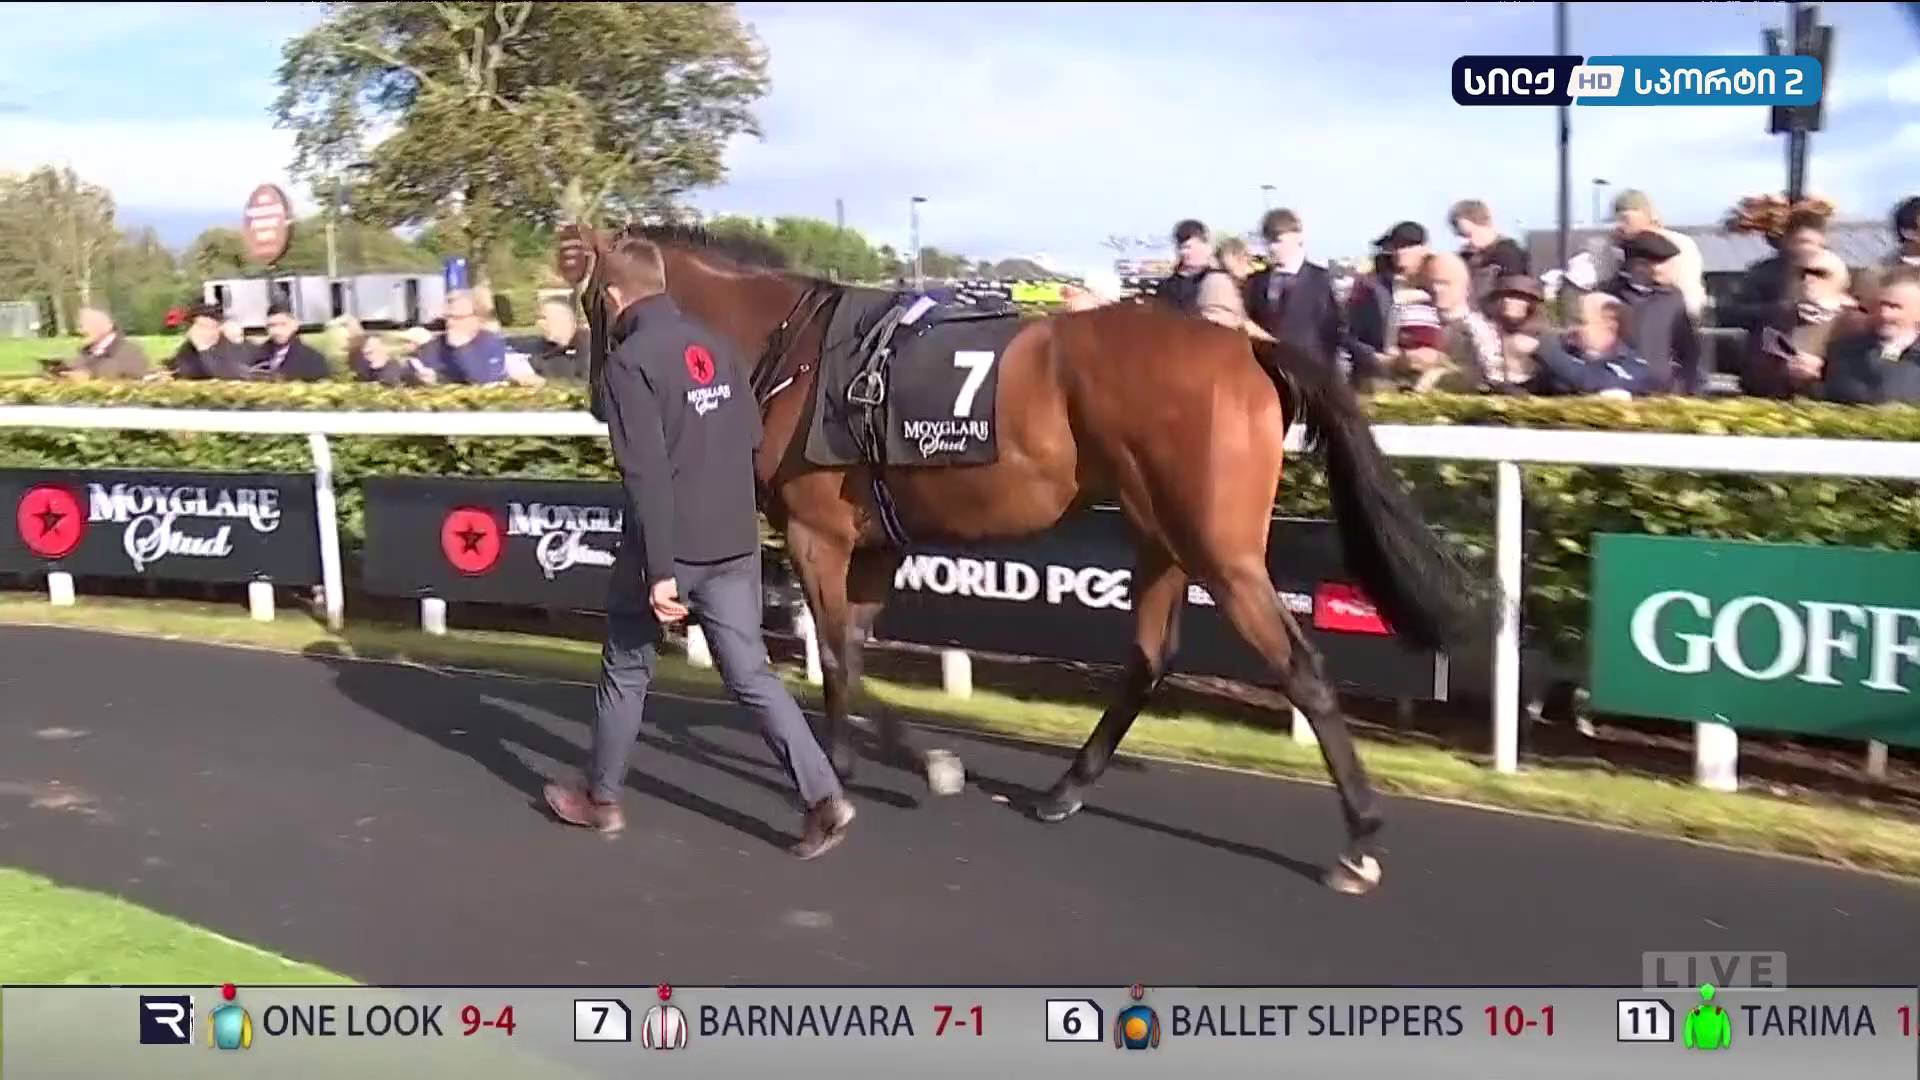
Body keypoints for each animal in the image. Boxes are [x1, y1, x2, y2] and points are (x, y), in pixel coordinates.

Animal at [557, 222, 1485, 895]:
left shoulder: (820, 532)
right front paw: (865, 764)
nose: (598, 397)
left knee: (1299, 668)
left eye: (593, 303)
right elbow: (848, 650)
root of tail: (1247, 345)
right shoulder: (872, 542)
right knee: (1151, 655)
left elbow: (838, 653)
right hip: (1161, 536)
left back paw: (1359, 839)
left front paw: (908, 766)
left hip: (1219, 548)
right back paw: (1063, 791)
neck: (795, 354)